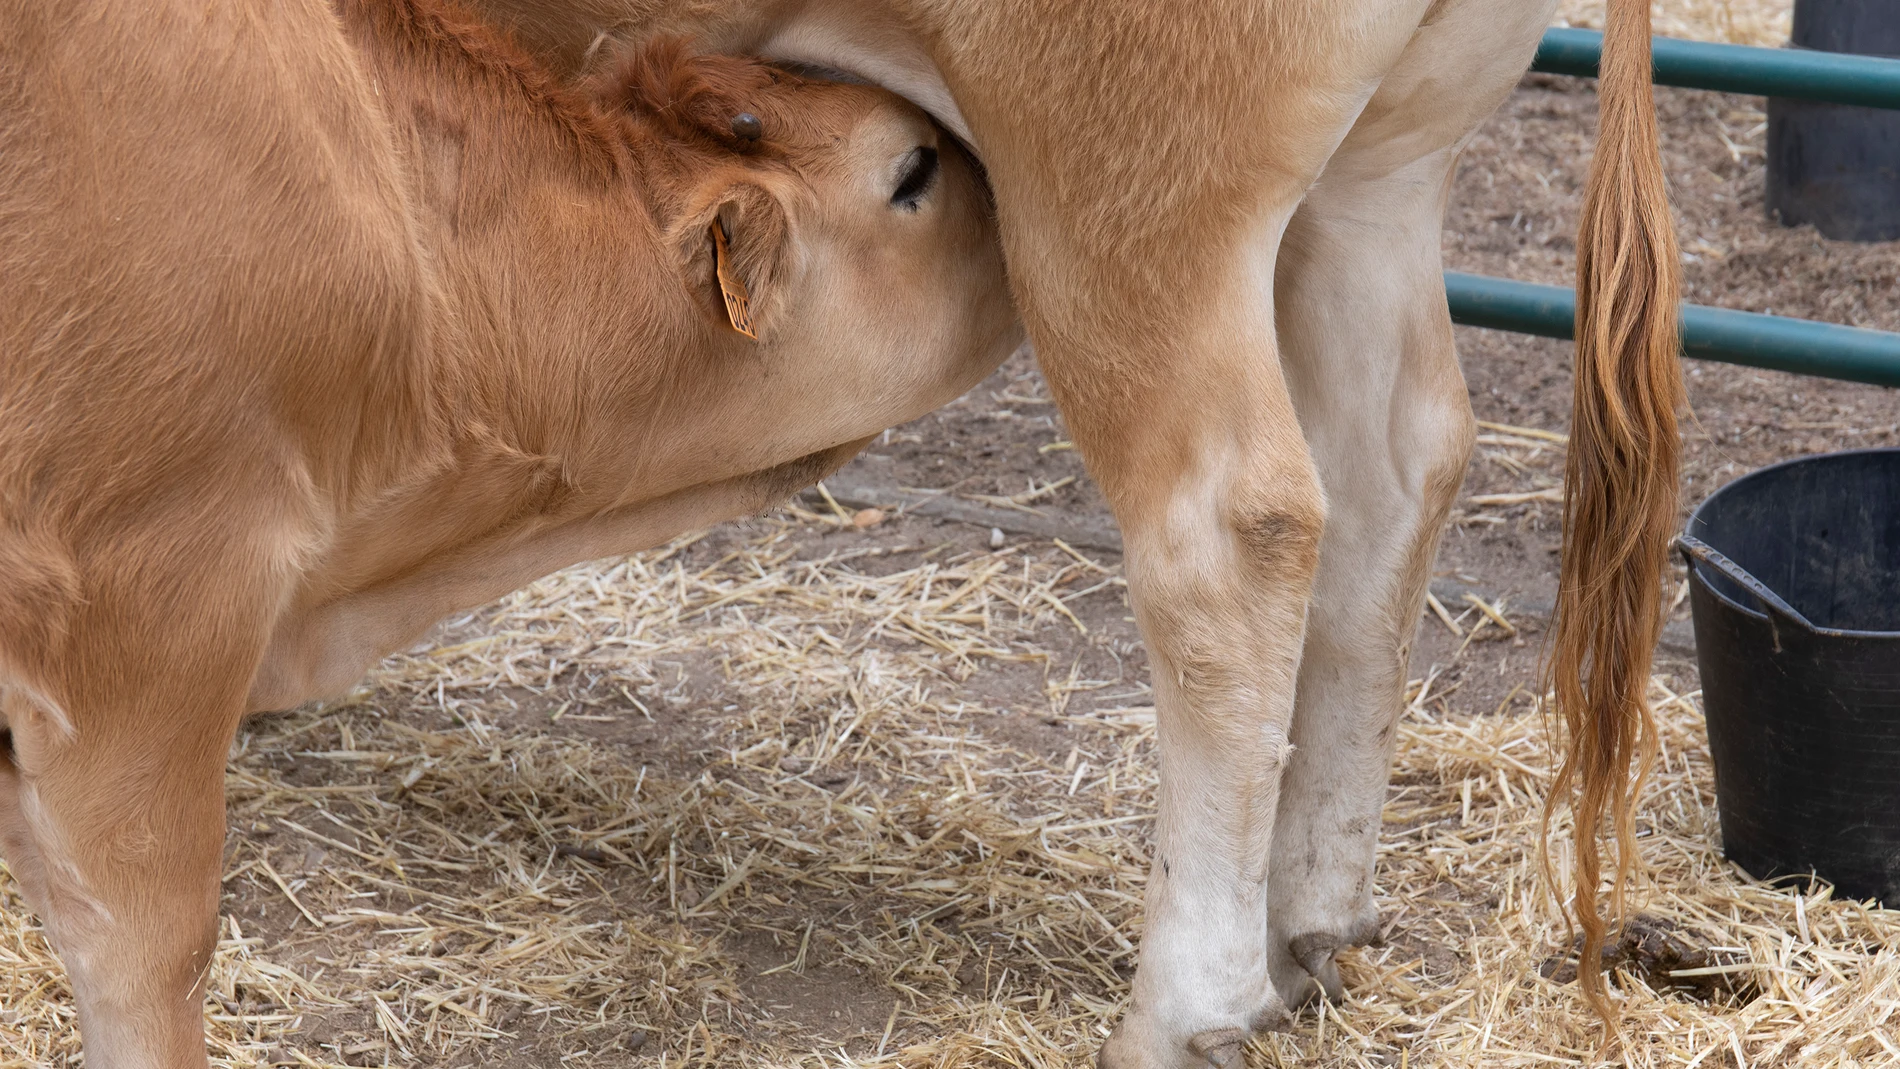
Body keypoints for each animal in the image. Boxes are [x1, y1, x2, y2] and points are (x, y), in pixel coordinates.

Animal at [471, 0, 1679, 1063]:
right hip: (1384, 169)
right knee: (1397, 470)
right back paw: (1305, 929)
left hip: (1122, 211)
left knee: (1230, 521)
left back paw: (1186, 1013)